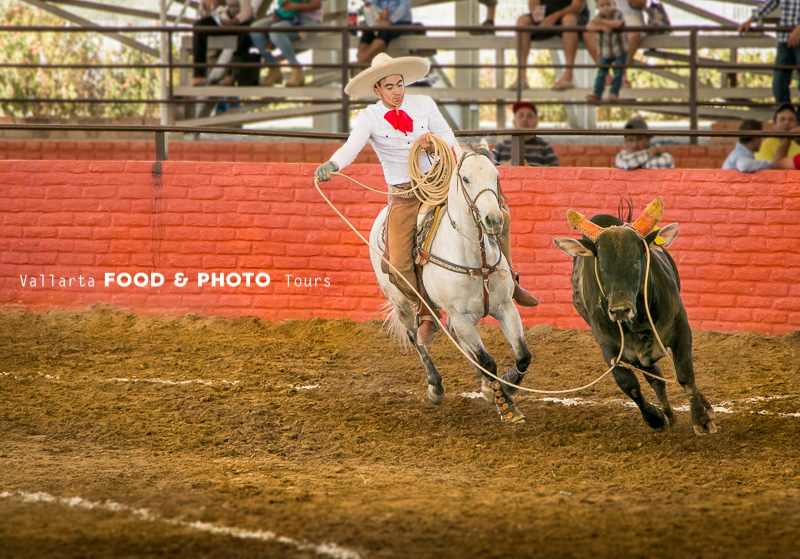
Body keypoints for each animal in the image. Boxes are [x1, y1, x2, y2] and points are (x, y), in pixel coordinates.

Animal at [368, 144, 532, 424]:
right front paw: (507, 406)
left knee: (454, 334)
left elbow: (522, 355)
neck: (476, 260)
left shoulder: (506, 308)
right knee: (415, 335)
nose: (494, 220)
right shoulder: (462, 316)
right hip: (400, 301)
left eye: (496, 175)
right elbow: (487, 361)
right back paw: (435, 386)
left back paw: (484, 384)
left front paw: (506, 384)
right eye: (465, 178)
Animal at [556, 201, 720, 438]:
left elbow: (684, 373)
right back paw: (668, 414)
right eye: (602, 266)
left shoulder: (681, 326)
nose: (619, 310)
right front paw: (655, 418)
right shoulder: (610, 346)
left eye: (635, 261)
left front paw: (701, 418)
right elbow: (629, 384)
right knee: (654, 378)